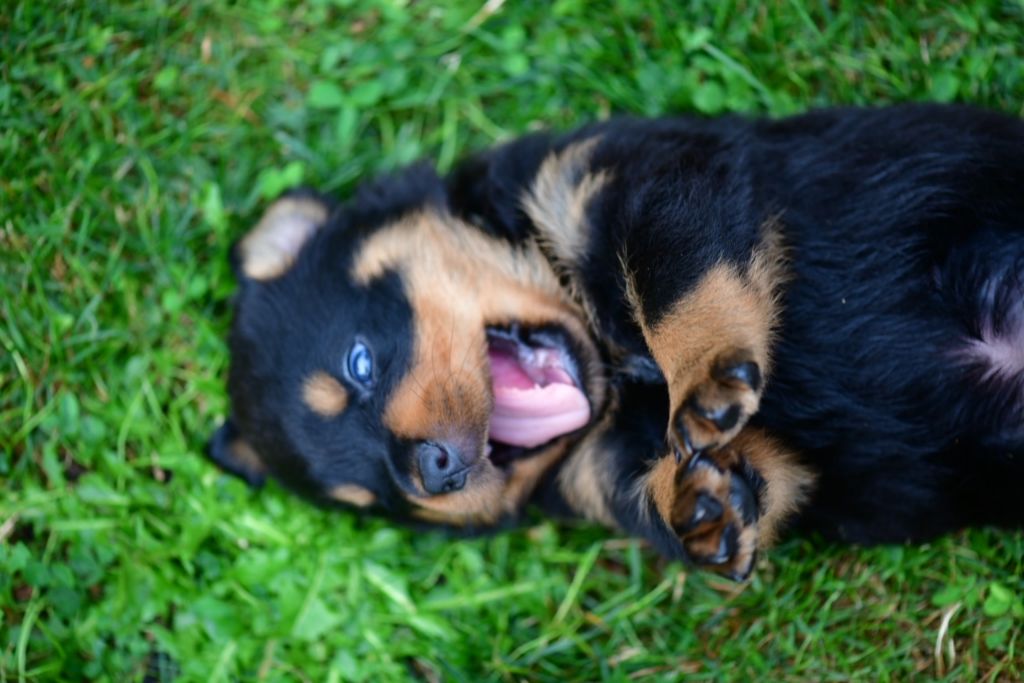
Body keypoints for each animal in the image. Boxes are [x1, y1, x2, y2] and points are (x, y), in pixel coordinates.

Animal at [205, 104, 1024, 581]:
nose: (431, 473)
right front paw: (694, 507)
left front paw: (705, 380)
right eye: (379, 496)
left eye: (361, 362)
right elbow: (730, 486)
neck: (616, 375)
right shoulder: (617, 468)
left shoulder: (637, 182)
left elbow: (676, 288)